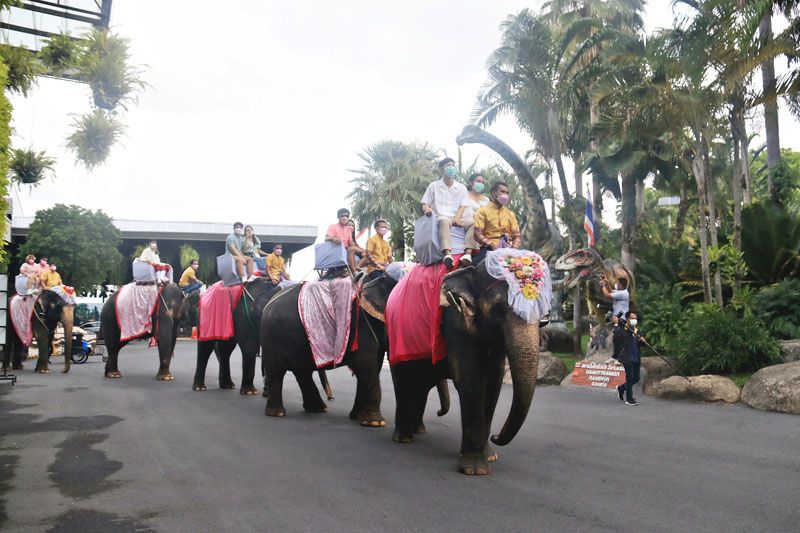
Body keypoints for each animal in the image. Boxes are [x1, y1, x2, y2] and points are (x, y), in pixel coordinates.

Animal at [260, 273, 397, 427]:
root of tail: (267, 305)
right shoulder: (361, 327)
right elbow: (366, 365)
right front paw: (374, 423)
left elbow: (371, 367)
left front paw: (357, 417)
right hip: (272, 337)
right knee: (276, 372)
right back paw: (277, 413)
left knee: (302, 371)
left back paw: (317, 408)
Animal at [390, 262, 542, 476]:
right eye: (498, 308)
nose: (496, 436)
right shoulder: (454, 317)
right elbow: (470, 377)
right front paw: (474, 469)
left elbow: (494, 382)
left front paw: (490, 456)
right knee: (404, 381)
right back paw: (403, 438)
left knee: (419, 384)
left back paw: (415, 431)